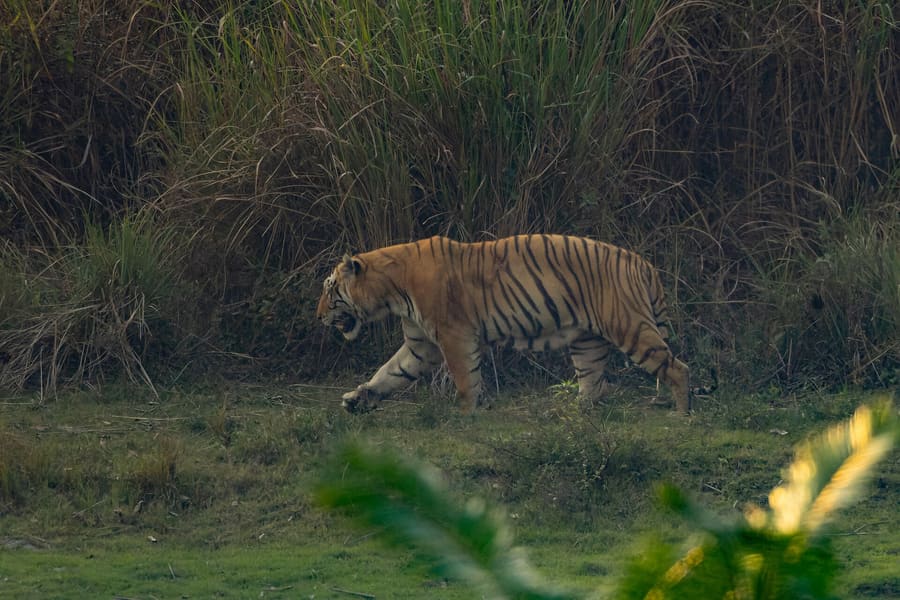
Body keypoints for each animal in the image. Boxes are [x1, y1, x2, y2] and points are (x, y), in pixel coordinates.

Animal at [316, 234, 692, 414]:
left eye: (330, 290)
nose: (319, 316)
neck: (392, 290)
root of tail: (641, 262)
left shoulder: (454, 336)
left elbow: (466, 378)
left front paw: (466, 412)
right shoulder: (420, 346)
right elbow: (388, 373)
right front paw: (357, 400)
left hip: (630, 327)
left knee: (678, 368)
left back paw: (680, 414)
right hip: (587, 341)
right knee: (594, 385)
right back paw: (570, 412)